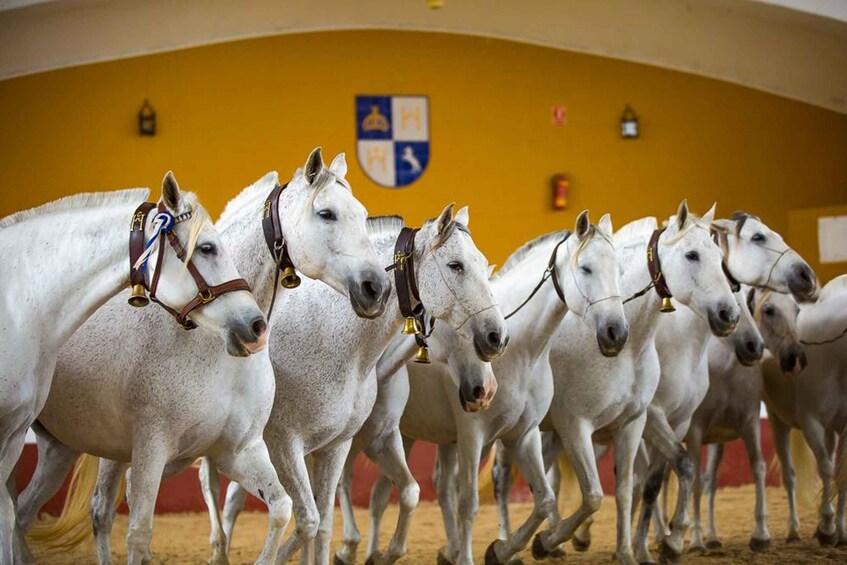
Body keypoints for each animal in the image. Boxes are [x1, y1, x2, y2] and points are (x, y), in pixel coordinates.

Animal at [210, 205, 510, 560]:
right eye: (456, 265)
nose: (497, 337)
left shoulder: (346, 444)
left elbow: (333, 520)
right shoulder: (285, 445)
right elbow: (307, 520)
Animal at [374, 213, 628, 564]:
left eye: (618, 270)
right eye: (586, 268)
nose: (616, 332)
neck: (524, 352)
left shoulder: (523, 434)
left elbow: (546, 499)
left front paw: (511, 548)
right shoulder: (472, 435)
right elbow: (468, 503)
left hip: (417, 433)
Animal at [760, 278, 847, 548]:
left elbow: (841, 474)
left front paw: (840, 530)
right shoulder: (811, 424)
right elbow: (827, 469)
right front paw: (828, 527)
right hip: (778, 421)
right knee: (790, 476)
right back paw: (794, 530)